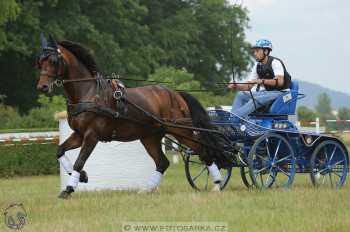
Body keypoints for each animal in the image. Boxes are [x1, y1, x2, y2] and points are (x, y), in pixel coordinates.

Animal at [34, 33, 230, 198]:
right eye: (40, 62)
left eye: (53, 60)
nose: (42, 87)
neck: (88, 93)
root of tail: (175, 94)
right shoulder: (79, 134)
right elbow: (60, 151)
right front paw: (81, 177)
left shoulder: (92, 135)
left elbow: (79, 161)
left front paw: (68, 188)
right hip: (150, 136)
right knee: (162, 163)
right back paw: (147, 189)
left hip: (182, 131)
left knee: (204, 152)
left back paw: (217, 185)